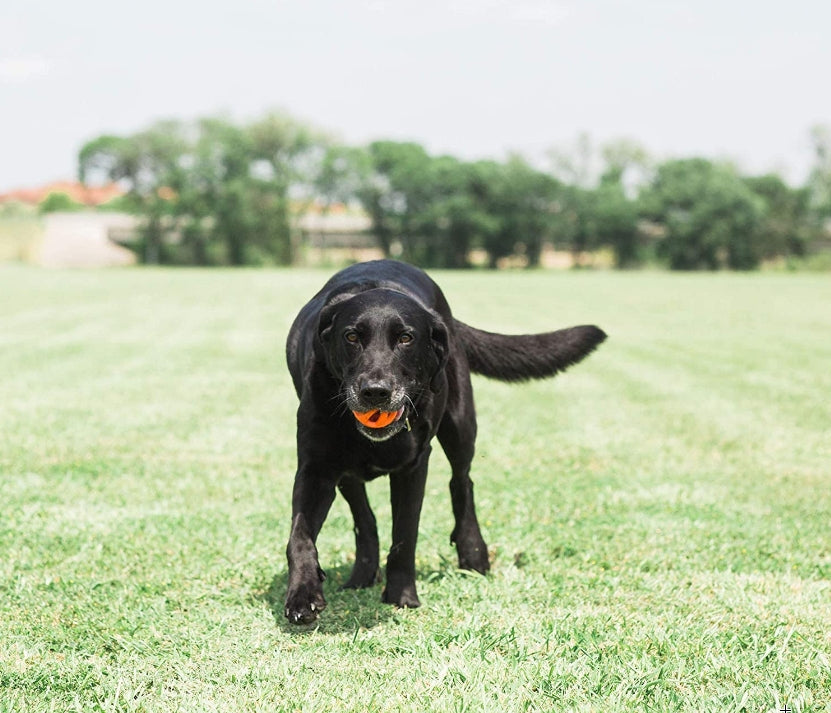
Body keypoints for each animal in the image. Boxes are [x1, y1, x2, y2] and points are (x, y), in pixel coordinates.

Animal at [284, 258, 604, 620]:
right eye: (351, 336)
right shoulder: (316, 469)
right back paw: (362, 573)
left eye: (406, 338)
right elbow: (299, 536)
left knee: (461, 482)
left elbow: (405, 534)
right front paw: (302, 595)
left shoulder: (414, 466)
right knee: (363, 515)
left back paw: (473, 553)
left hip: (460, 423)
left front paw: (402, 596)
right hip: (347, 471)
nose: (375, 392)